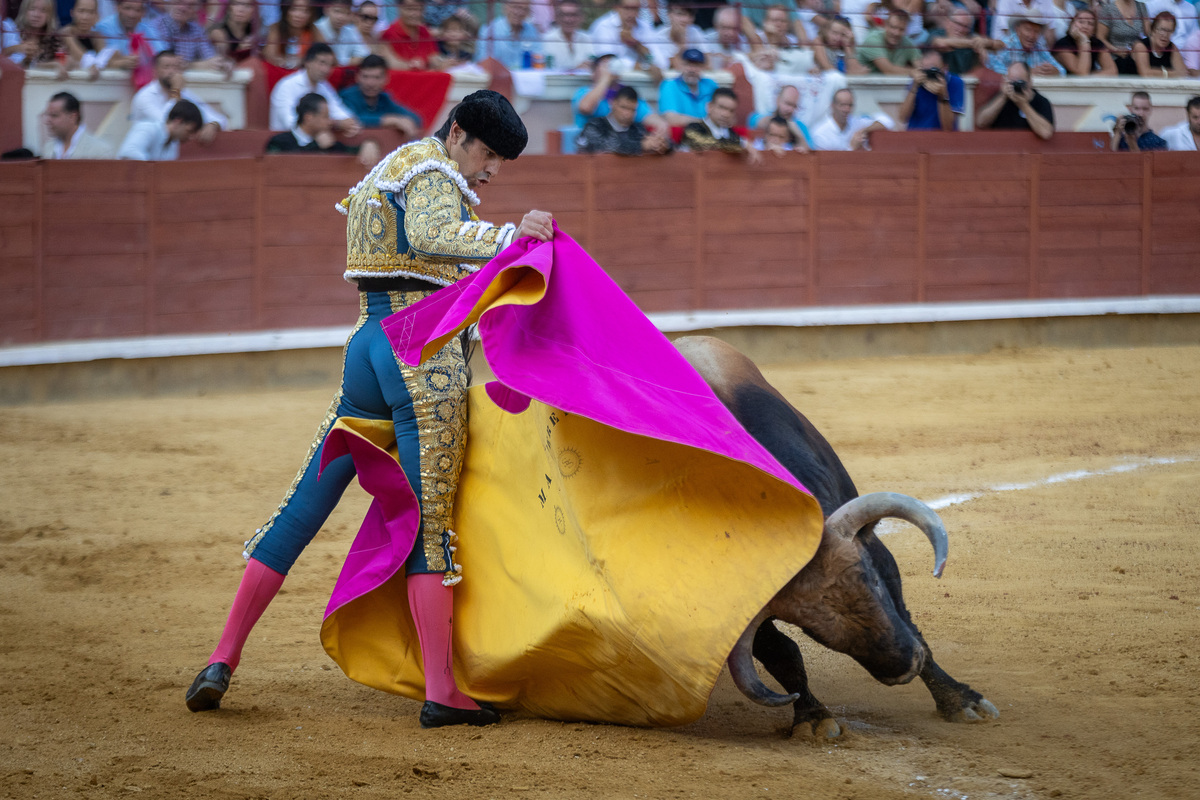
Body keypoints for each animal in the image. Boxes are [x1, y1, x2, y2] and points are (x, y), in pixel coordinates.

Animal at [676, 335, 1003, 734]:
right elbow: (782, 653)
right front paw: (814, 718)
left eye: (873, 583)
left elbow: (909, 621)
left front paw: (959, 699)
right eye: (814, 632)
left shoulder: (874, 546)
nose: (902, 668)